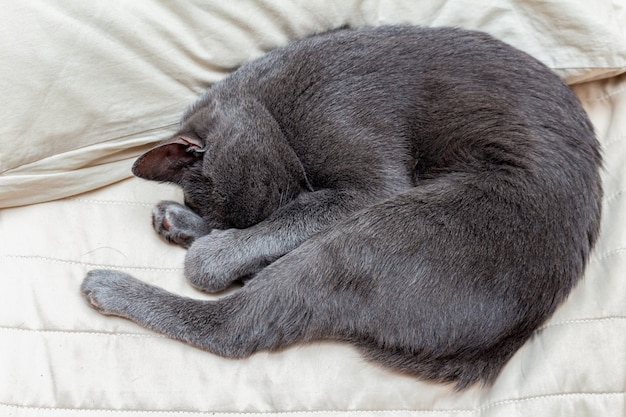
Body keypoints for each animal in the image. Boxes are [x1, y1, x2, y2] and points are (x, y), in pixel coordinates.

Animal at [80, 26, 604, 386]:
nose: (226, 230)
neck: (273, 107)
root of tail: (507, 337)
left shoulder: (366, 179)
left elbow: (280, 226)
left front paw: (215, 250)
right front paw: (202, 230)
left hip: (384, 229)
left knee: (235, 326)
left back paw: (111, 284)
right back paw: (174, 228)